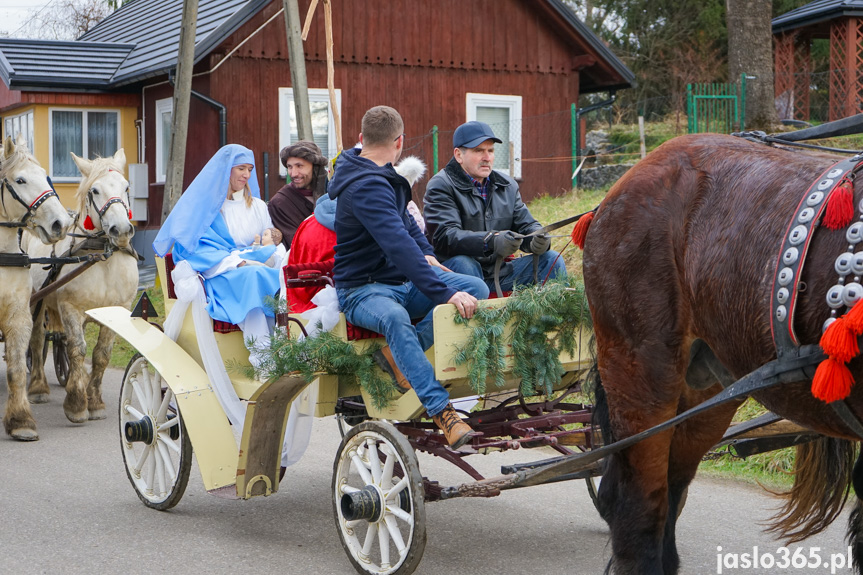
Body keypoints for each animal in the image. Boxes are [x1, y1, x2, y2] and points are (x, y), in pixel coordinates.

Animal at [24, 150, 138, 424]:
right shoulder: (70, 307)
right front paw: (76, 404)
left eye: (126, 187)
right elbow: (78, 349)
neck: (102, 255)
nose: (121, 230)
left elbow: (101, 354)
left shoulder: (117, 309)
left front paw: (94, 401)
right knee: (37, 339)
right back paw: (39, 388)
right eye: (95, 190)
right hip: (35, 300)